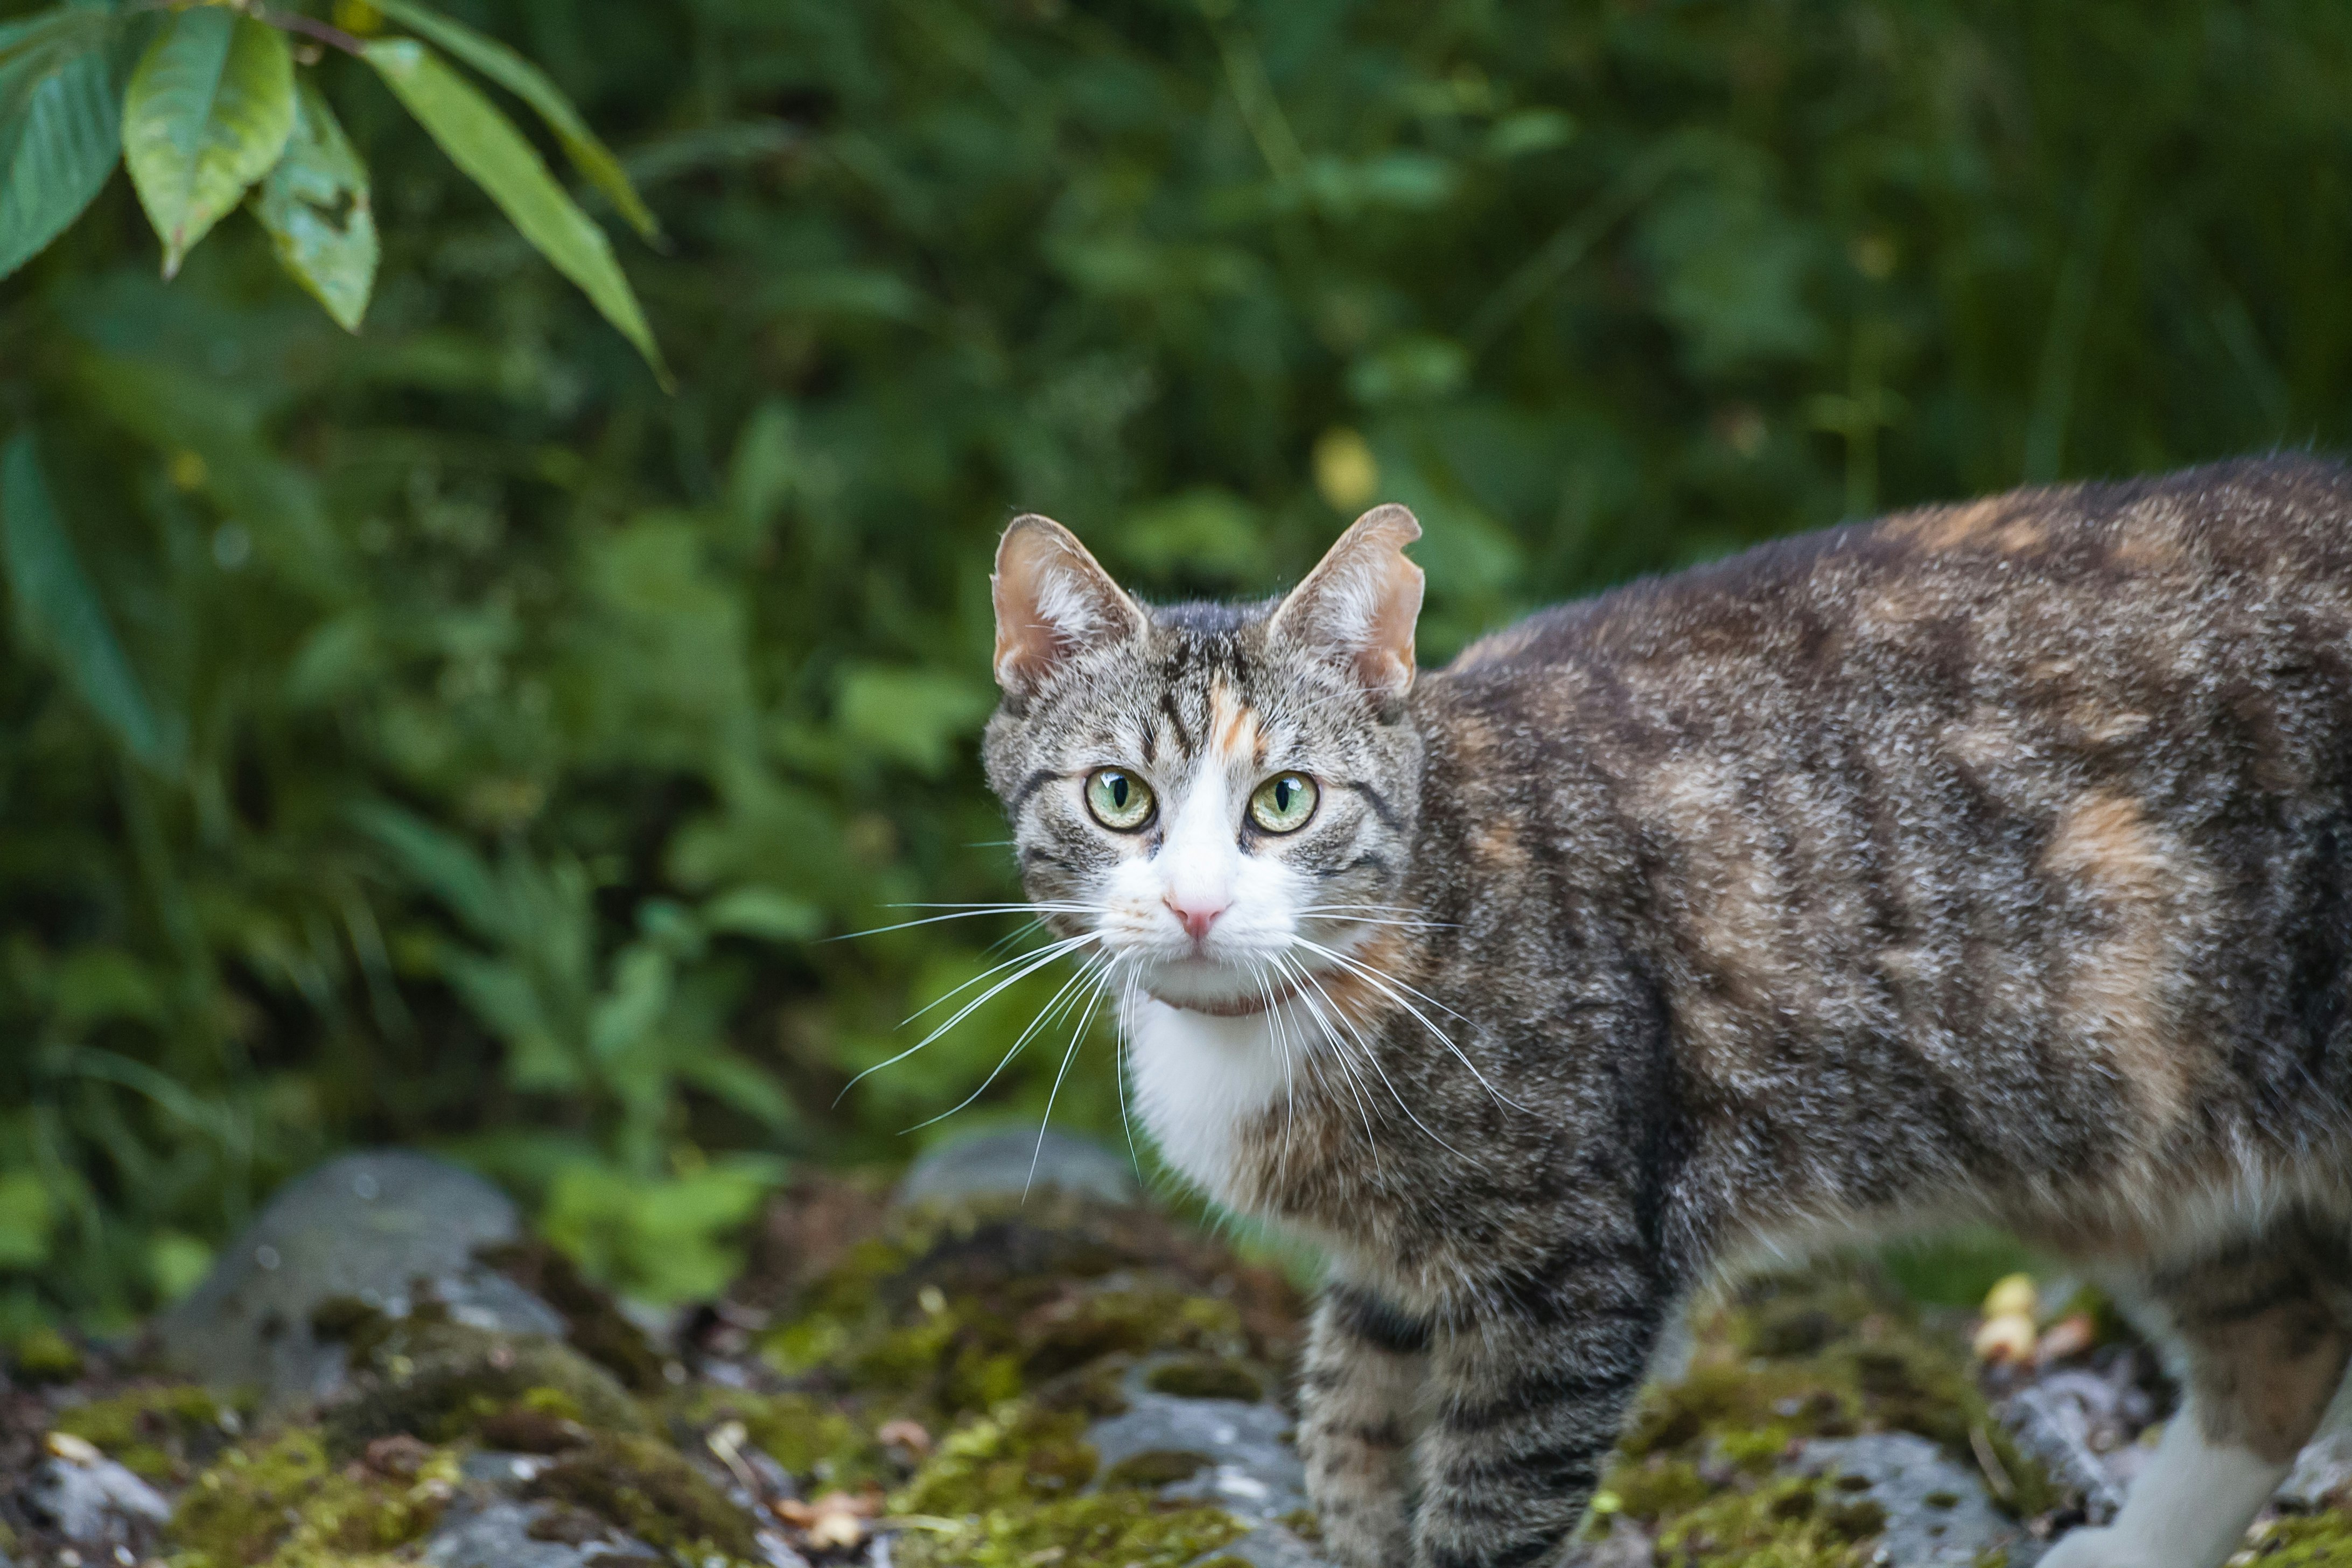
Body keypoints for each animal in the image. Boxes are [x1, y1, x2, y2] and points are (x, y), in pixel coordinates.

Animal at [983, 456, 2352, 1568]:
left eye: (1284, 801)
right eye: (1117, 796)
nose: (1197, 906)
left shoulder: (1565, 1276)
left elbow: (1487, 1514)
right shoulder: (1390, 1278)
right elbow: (1345, 1443)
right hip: (2141, 1114)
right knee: (2282, 1340)